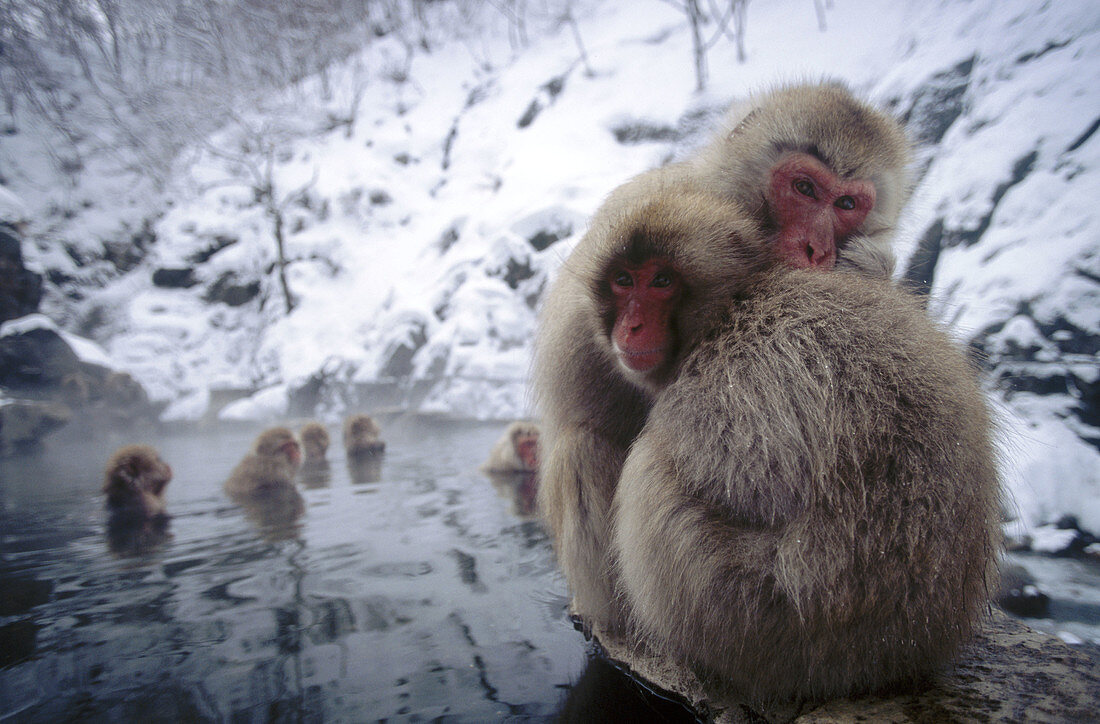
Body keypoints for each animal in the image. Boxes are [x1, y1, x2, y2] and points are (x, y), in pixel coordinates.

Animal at [616, 265, 1003, 704]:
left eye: (661, 285)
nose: (628, 330)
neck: (727, 317)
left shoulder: (732, 378)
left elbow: (753, 479)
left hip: (756, 618)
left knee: (647, 471)